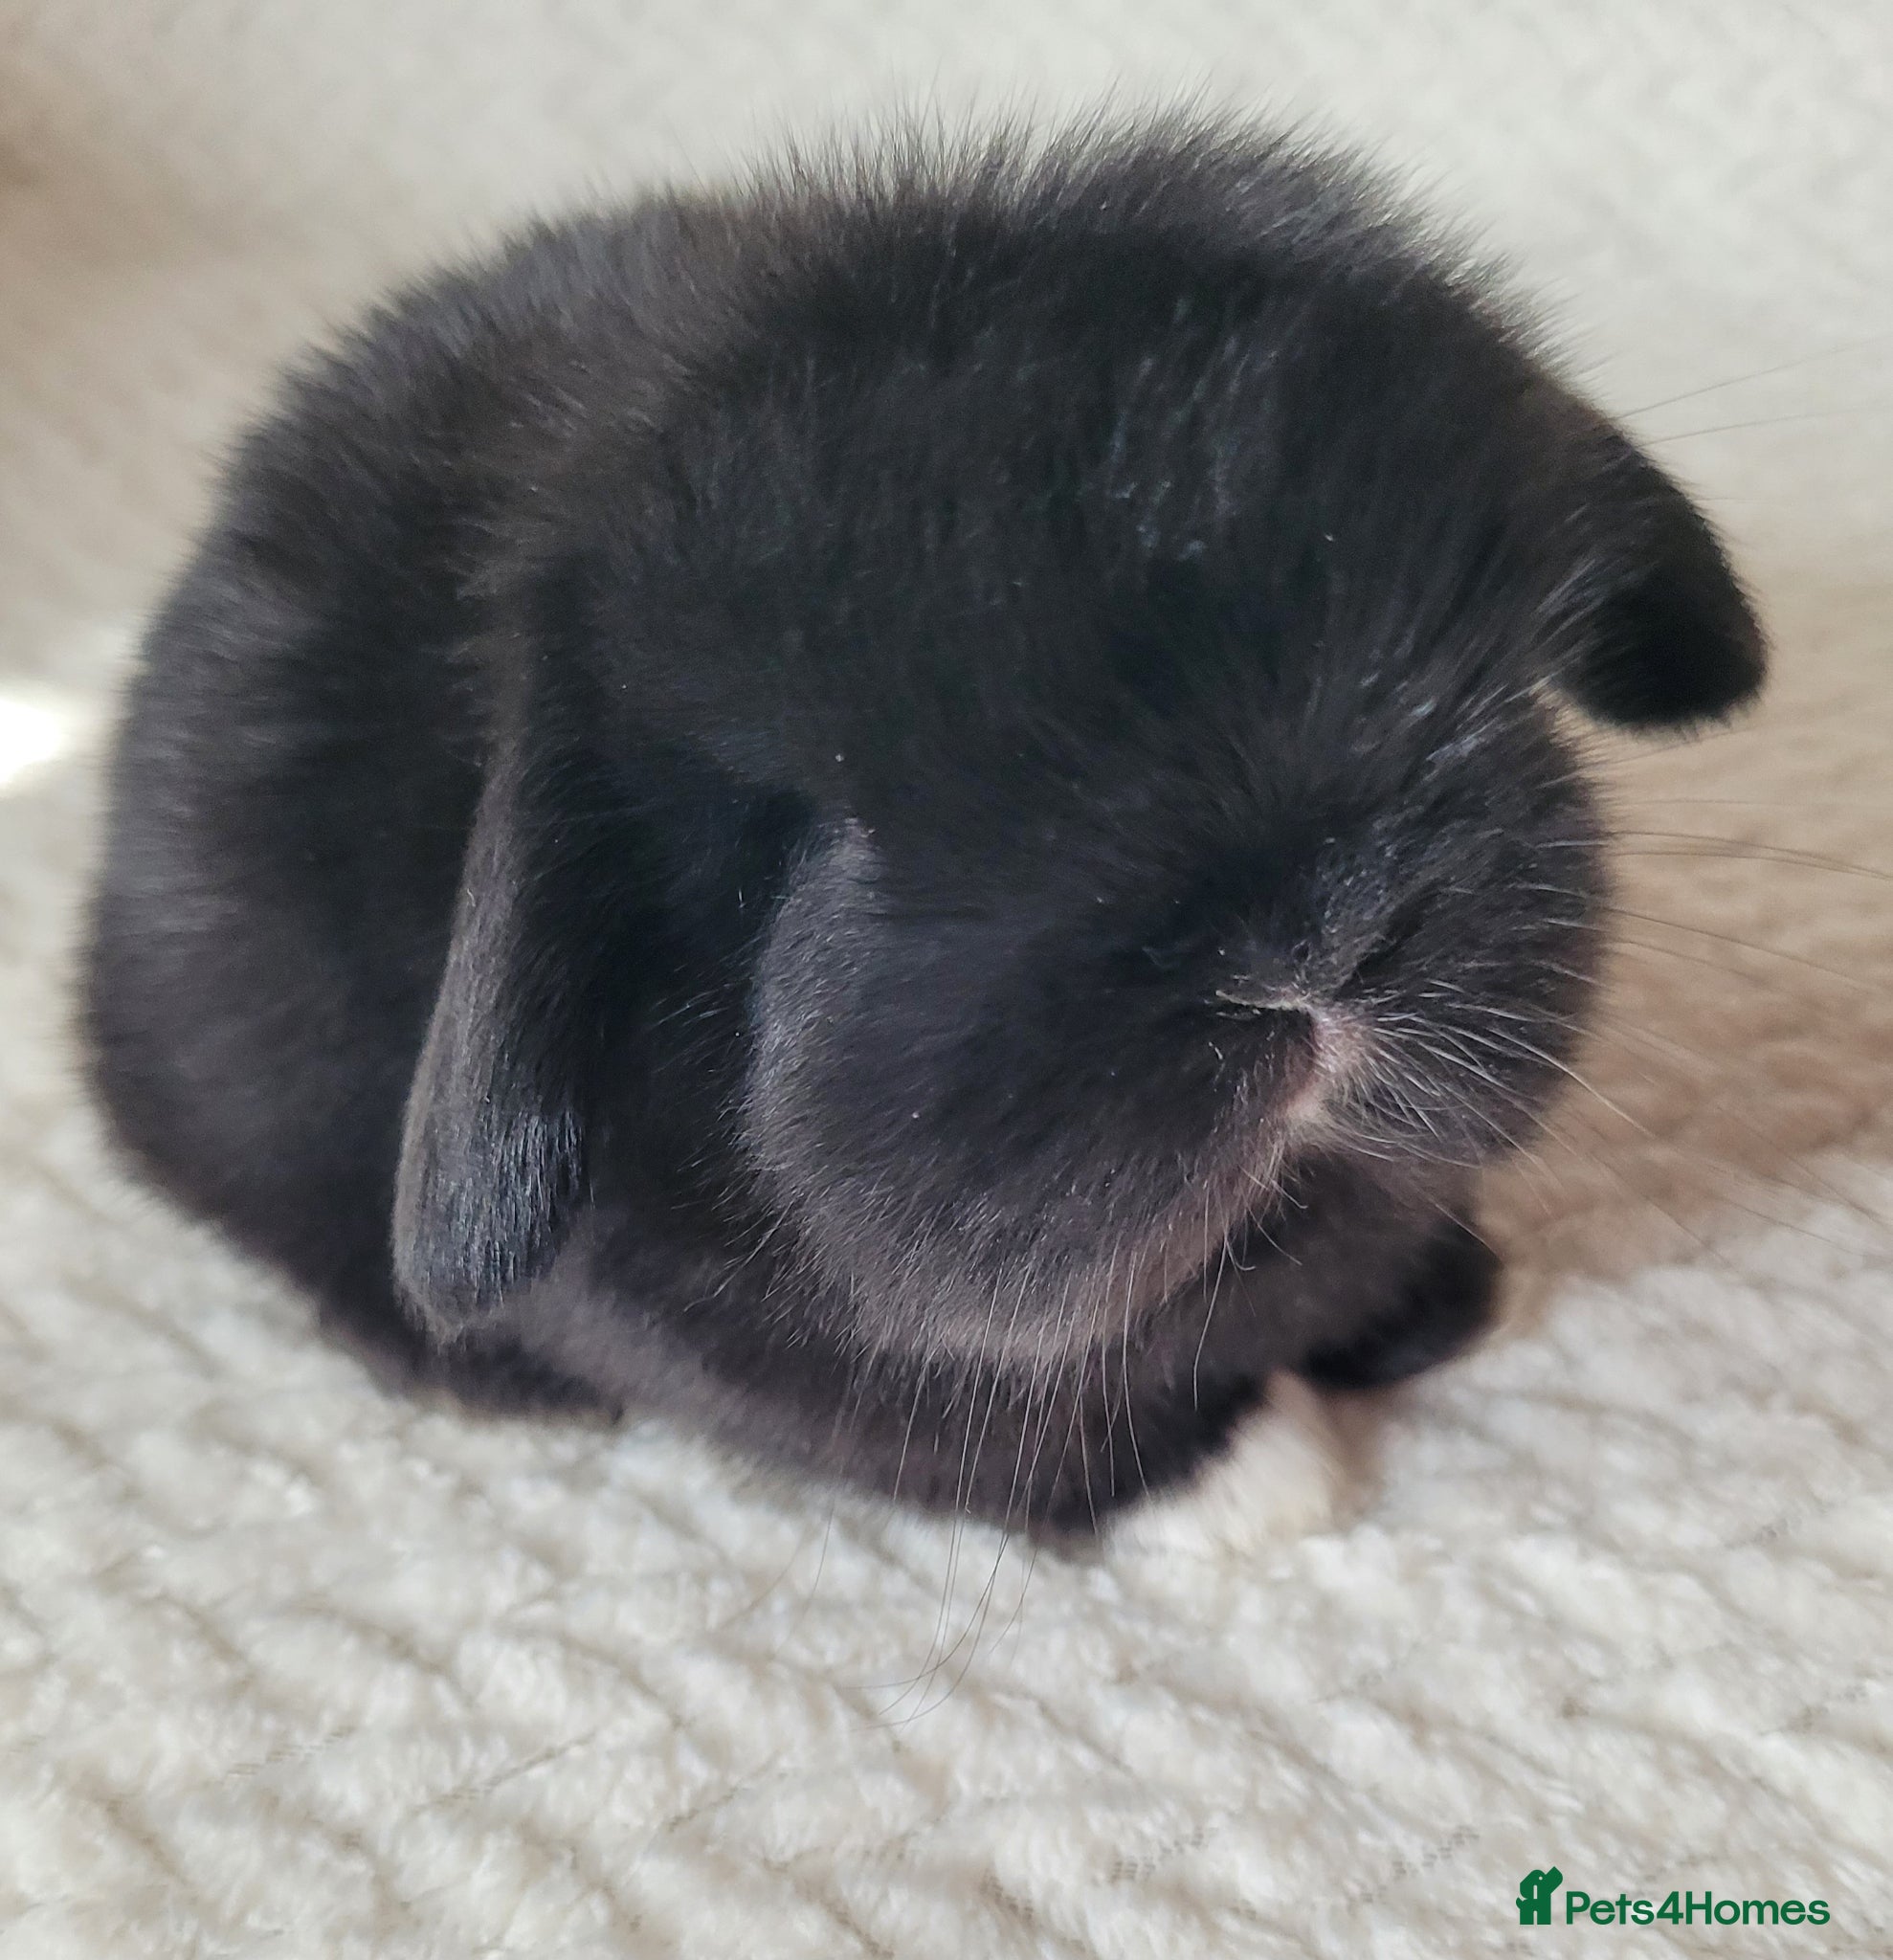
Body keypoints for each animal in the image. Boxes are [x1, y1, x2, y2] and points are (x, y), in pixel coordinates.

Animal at [82, 117, 1764, 1536]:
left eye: (1445, 647)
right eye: (826, 836)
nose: (1318, 935)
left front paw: (1444, 1298)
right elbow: (1018, 1449)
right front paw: (1251, 1485)